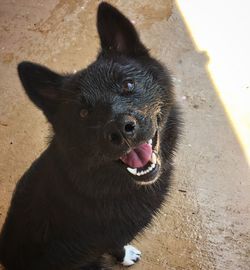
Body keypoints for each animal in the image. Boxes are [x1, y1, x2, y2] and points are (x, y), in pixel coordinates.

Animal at [0, 2, 180, 270]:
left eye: (128, 85)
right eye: (83, 113)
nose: (119, 130)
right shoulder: (105, 240)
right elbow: (115, 245)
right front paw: (124, 255)